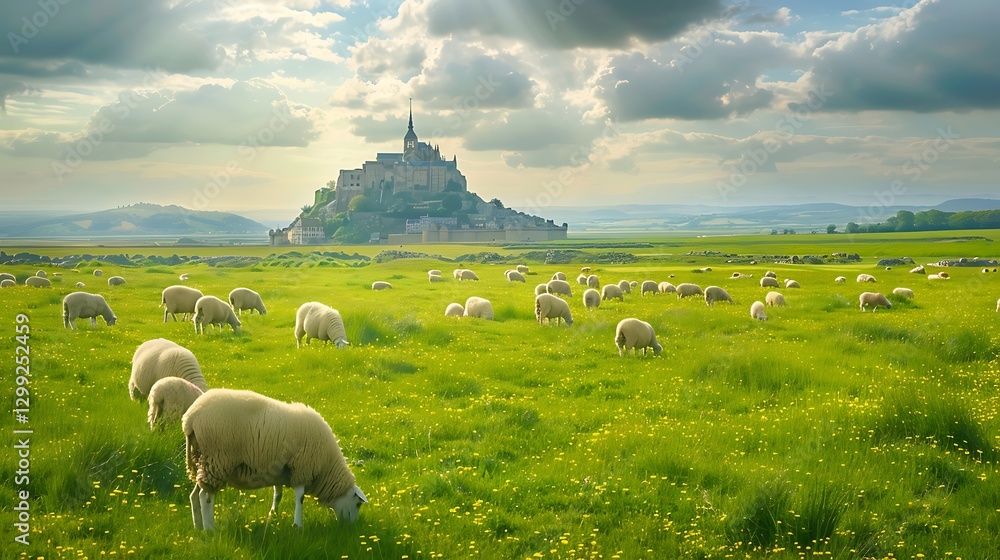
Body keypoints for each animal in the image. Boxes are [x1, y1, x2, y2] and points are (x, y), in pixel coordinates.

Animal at [183, 388, 367, 530]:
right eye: (358, 504)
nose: (350, 528)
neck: (327, 467)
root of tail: (190, 418)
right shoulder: (302, 467)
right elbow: (300, 497)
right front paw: (297, 525)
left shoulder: (280, 470)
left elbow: (278, 494)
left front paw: (273, 516)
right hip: (218, 459)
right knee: (205, 497)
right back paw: (210, 530)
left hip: (203, 461)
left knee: (194, 495)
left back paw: (198, 527)